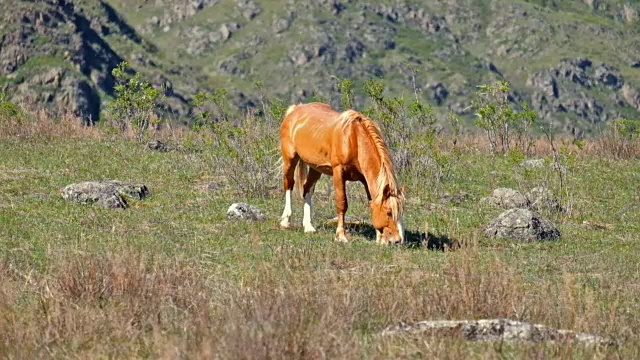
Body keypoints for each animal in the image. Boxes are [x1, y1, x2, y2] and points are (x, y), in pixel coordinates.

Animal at [278, 101, 404, 245]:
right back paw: (285, 221)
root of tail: (295, 109)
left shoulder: (365, 179)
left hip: (316, 168)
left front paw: (379, 238)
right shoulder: (338, 172)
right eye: (389, 212)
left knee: (307, 189)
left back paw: (308, 226)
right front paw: (341, 236)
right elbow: (342, 203)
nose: (397, 240)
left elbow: (372, 202)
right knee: (288, 184)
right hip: (290, 159)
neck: (354, 139)